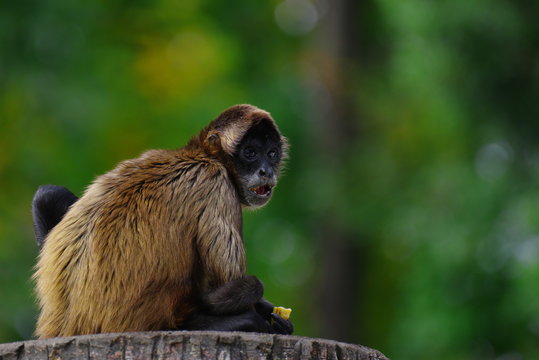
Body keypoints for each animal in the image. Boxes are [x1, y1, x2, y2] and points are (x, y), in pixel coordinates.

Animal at [31, 104, 294, 338]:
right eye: (250, 153)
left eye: (272, 154)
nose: (266, 171)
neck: (198, 154)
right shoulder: (216, 185)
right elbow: (218, 295)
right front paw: (265, 310)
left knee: (48, 193)